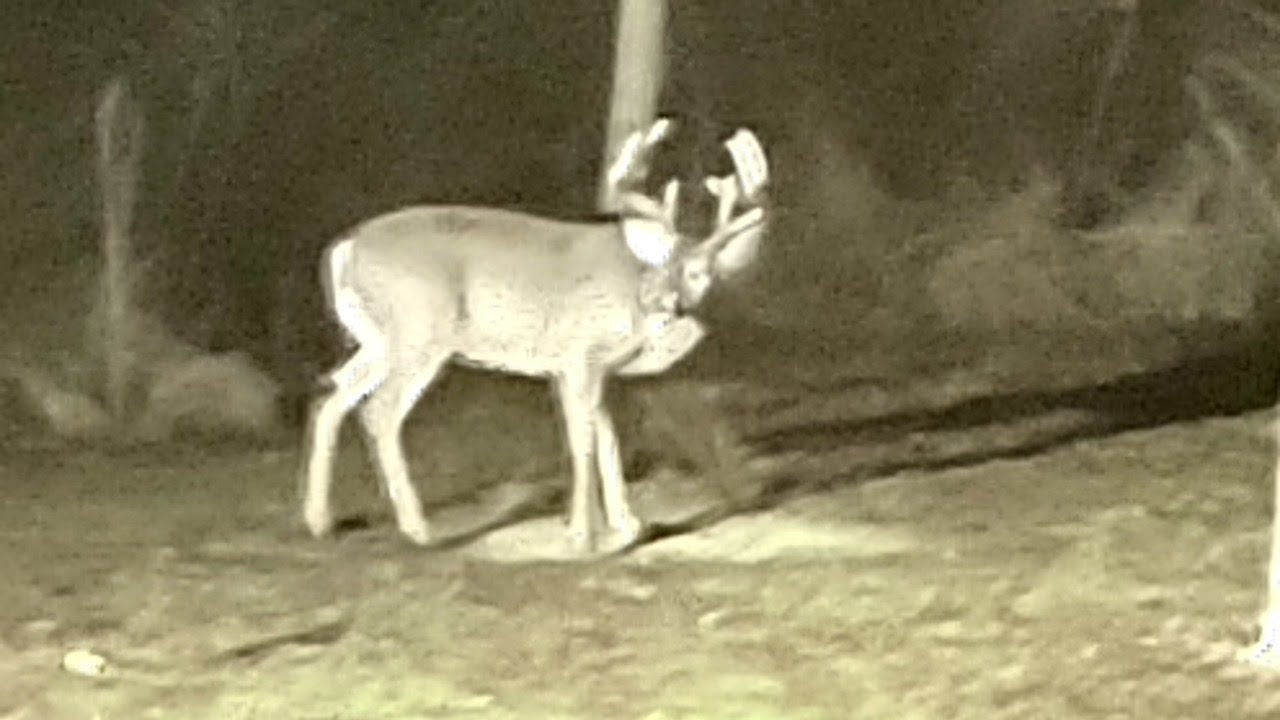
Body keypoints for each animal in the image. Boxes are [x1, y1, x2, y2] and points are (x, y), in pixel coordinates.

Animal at [300, 118, 769, 554]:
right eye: (661, 265)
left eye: (698, 274)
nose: (661, 300)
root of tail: (346, 248)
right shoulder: (581, 351)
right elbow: (583, 439)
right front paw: (583, 534)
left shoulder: (586, 367)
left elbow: (606, 435)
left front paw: (626, 524)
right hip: (419, 330)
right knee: (378, 410)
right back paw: (419, 529)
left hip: (378, 339)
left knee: (331, 396)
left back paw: (319, 521)